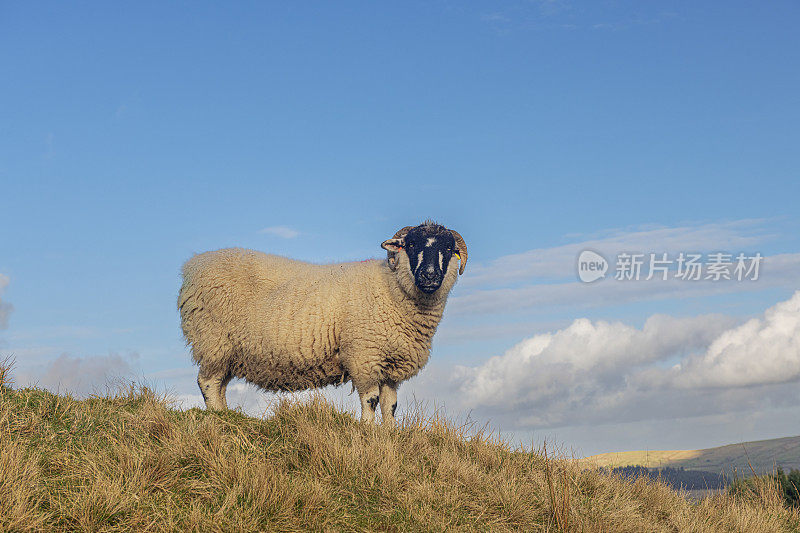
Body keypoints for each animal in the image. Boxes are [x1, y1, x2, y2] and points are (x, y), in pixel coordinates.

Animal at [178, 221, 466, 424]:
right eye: (412, 245)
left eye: (448, 249)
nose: (429, 276)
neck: (391, 288)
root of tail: (194, 265)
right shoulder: (364, 355)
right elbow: (371, 400)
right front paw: (368, 430)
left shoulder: (391, 363)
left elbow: (390, 405)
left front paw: (390, 433)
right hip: (213, 339)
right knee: (208, 382)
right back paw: (218, 417)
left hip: (230, 351)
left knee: (219, 385)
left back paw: (227, 414)